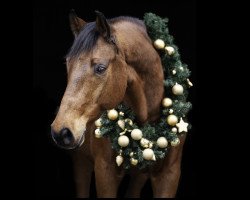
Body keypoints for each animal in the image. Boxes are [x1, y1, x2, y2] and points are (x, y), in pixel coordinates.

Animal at [51, 10, 186, 197]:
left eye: (100, 68)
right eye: (67, 64)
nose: (61, 132)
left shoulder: (169, 176)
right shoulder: (105, 172)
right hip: (81, 163)